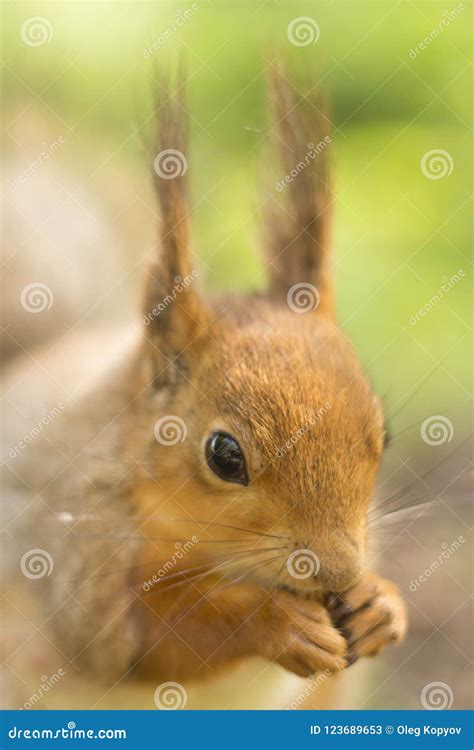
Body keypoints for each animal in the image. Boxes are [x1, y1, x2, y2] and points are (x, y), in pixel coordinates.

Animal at [0, 64, 408, 704]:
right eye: (224, 455)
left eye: (383, 435)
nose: (340, 571)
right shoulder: (76, 556)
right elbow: (154, 641)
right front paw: (272, 621)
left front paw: (381, 604)